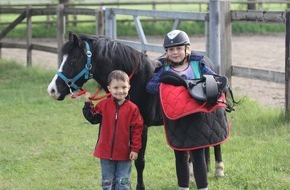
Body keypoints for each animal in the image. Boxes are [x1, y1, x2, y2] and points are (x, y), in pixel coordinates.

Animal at [47, 31, 224, 189]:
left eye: (73, 60)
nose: (52, 90)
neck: (137, 80)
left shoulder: (142, 126)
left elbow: (139, 161)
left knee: (216, 142)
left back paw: (219, 170)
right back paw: (194, 175)